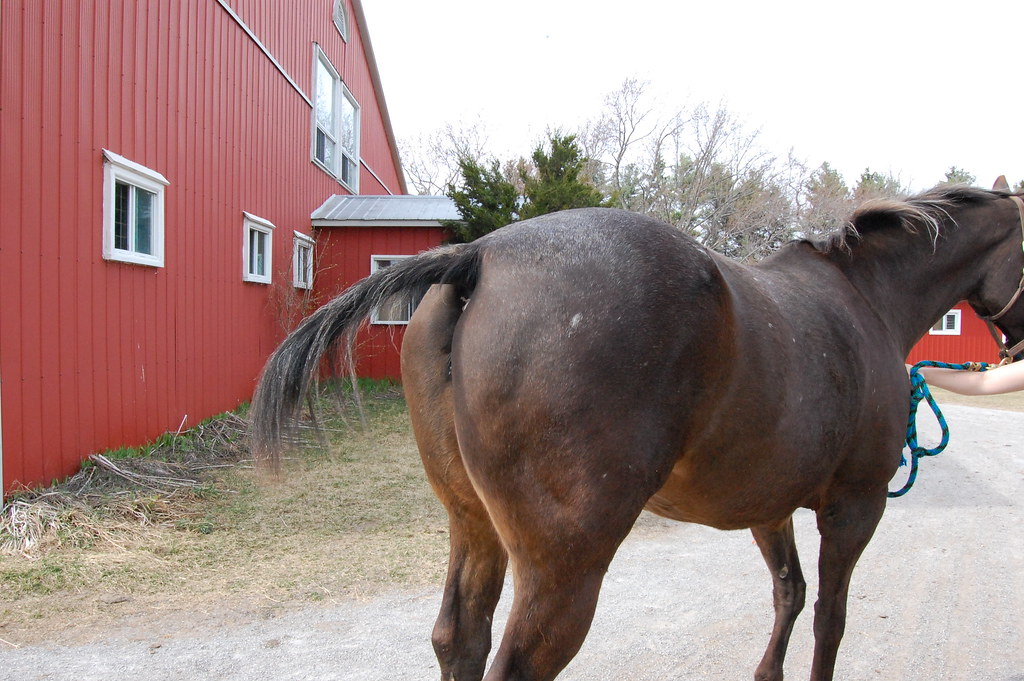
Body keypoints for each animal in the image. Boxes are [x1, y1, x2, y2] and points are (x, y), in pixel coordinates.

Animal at [249, 185, 1024, 681]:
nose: (1014, 346)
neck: (865, 301)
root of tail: (480, 256)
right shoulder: (854, 508)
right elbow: (829, 618)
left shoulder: (770, 509)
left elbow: (789, 594)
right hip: (564, 570)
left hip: (472, 526)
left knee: (457, 639)